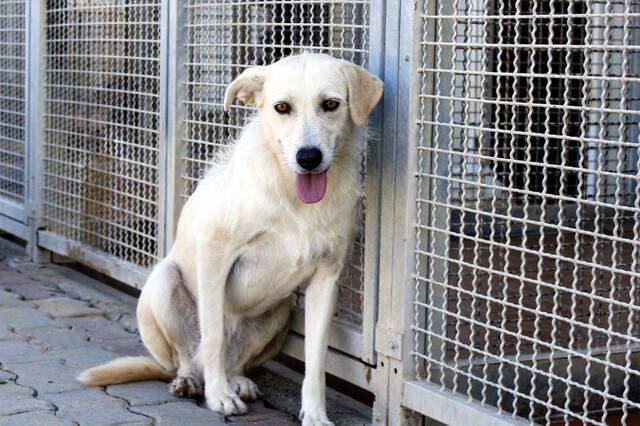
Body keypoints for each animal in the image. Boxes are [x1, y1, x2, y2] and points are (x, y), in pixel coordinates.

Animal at [78, 52, 383, 426]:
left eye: (330, 104)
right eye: (282, 107)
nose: (308, 158)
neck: (291, 196)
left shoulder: (327, 278)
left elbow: (315, 361)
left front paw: (314, 414)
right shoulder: (214, 254)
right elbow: (212, 337)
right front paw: (218, 396)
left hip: (282, 309)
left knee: (234, 360)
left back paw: (238, 381)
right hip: (165, 282)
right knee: (190, 356)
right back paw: (192, 381)